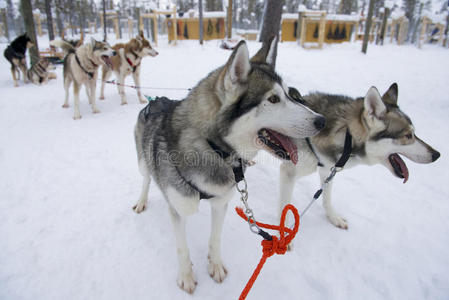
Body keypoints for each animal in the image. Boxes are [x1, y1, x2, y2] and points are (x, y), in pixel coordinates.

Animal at [131, 37, 324, 292]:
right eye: (273, 99)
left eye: (290, 95)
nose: (322, 121)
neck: (214, 149)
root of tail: (156, 101)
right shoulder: (179, 210)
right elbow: (182, 248)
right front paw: (186, 276)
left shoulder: (221, 202)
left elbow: (215, 238)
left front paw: (215, 265)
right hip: (143, 162)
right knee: (145, 179)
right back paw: (141, 201)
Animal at [278, 83, 440, 229]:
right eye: (407, 136)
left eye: (414, 133)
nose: (437, 154)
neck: (346, 136)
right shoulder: (289, 172)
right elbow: (284, 208)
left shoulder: (327, 170)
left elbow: (326, 199)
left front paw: (333, 217)